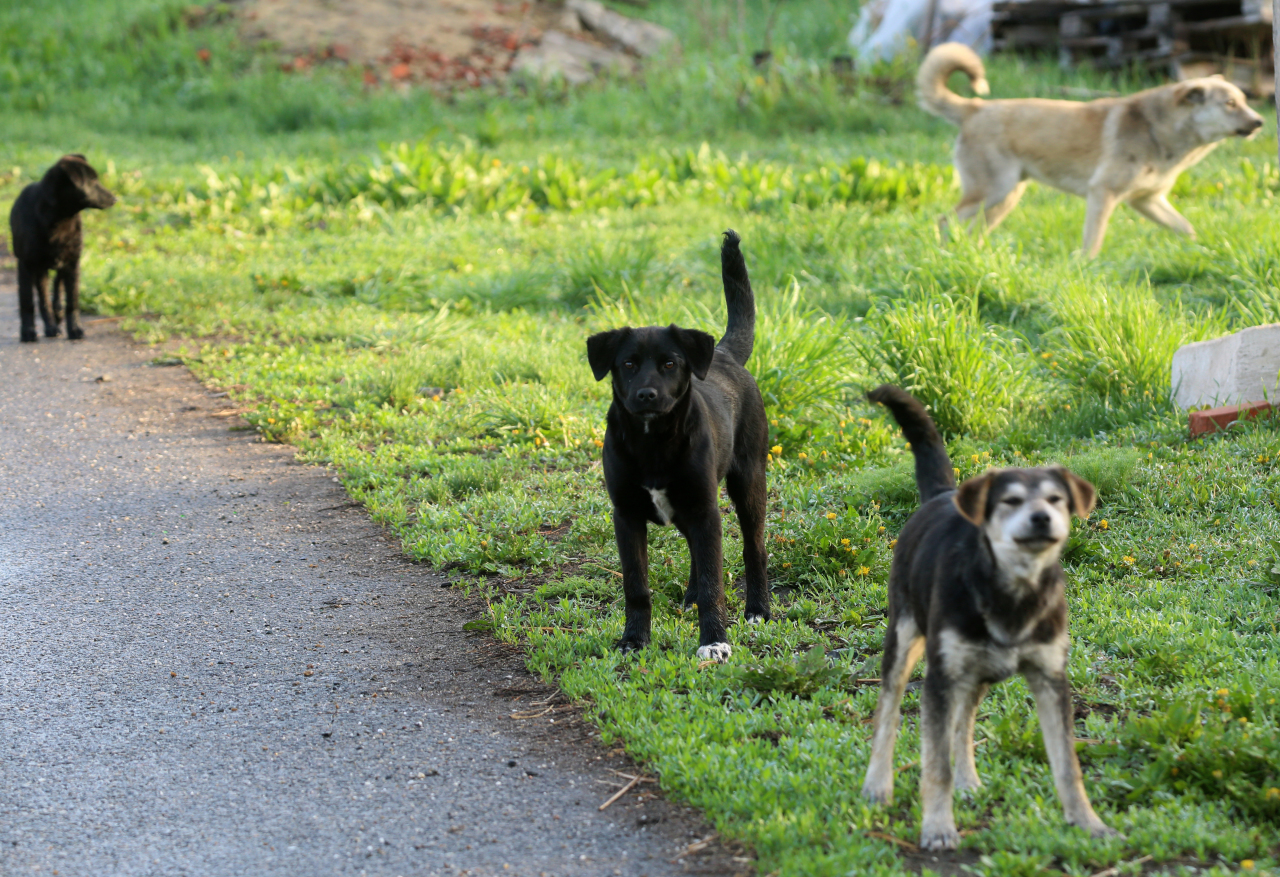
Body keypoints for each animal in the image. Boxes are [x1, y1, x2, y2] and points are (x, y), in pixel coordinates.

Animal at [8, 155, 116, 340]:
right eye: (92, 181)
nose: (115, 198)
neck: (59, 218)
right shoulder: (26, 264)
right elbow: (27, 300)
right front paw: (28, 331)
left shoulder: (72, 263)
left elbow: (72, 301)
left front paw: (75, 329)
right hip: (40, 269)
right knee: (43, 298)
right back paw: (51, 326)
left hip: (61, 263)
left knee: (57, 288)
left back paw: (57, 315)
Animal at [586, 229, 768, 660]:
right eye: (628, 364)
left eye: (670, 363)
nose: (647, 395)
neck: (653, 441)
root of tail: (723, 353)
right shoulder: (627, 516)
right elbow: (636, 585)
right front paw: (634, 640)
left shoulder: (704, 509)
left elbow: (715, 581)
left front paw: (714, 640)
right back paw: (690, 597)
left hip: (748, 481)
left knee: (754, 548)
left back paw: (757, 610)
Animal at [860, 384, 1121, 850]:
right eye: (1010, 500)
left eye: (1056, 499)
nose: (1042, 517)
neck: (1013, 592)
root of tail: (942, 495)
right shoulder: (939, 679)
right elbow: (935, 763)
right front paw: (938, 828)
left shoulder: (1051, 678)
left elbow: (1067, 765)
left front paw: (1088, 823)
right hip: (906, 639)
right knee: (887, 712)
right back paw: (878, 786)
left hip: (976, 672)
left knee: (964, 723)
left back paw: (968, 781)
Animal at [916, 43, 1264, 256]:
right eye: (1229, 103)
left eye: (1244, 100)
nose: (1260, 122)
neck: (1160, 130)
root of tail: (975, 107)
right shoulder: (1102, 193)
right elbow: (1092, 242)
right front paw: (1085, 267)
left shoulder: (1148, 201)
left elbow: (1186, 228)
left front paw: (1199, 251)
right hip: (993, 191)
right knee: (945, 220)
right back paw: (945, 254)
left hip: (1005, 198)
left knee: (972, 230)